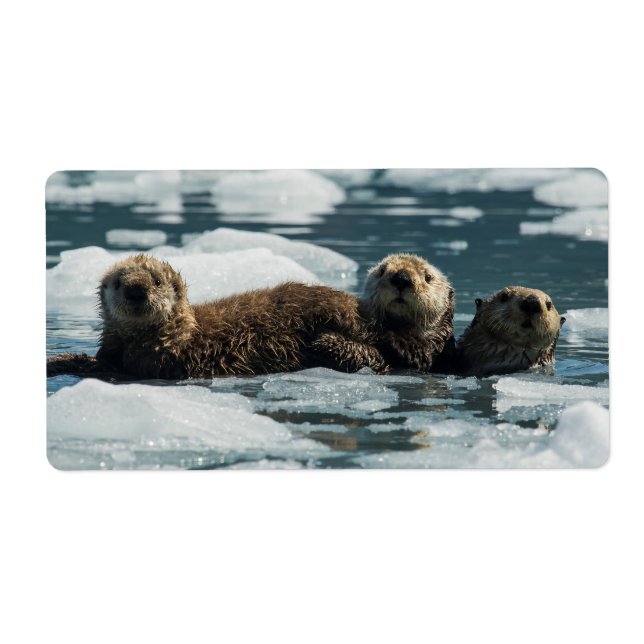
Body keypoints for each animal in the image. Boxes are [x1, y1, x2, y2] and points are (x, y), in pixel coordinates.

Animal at [47, 254, 388, 379]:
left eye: (156, 282)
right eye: (119, 283)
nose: (135, 290)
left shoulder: (155, 360)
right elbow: (99, 362)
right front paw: (59, 361)